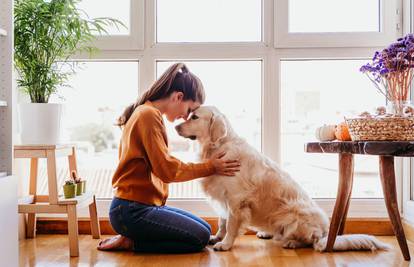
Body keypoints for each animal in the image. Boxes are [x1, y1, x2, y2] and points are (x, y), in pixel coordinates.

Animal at [175, 105, 388, 252]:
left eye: (194, 117)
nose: (176, 126)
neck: (218, 146)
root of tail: (326, 233)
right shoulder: (223, 196)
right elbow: (221, 221)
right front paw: (217, 237)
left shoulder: (236, 199)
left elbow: (231, 224)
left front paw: (225, 244)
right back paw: (266, 233)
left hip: (293, 215)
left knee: (311, 241)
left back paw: (292, 242)